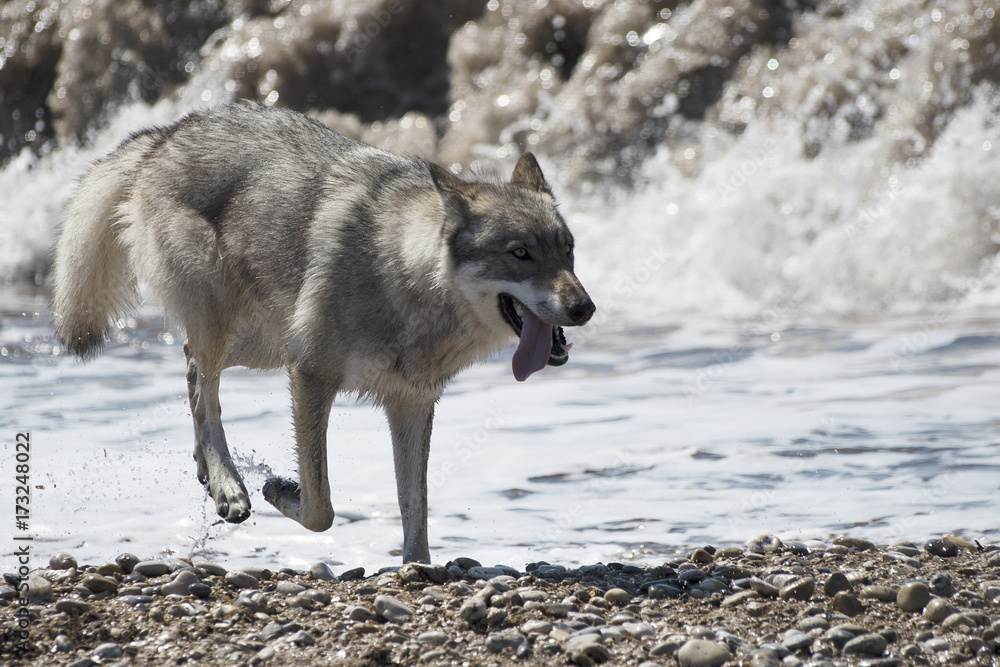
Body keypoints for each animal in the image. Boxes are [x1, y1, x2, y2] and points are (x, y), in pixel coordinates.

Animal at [51, 101, 595, 563]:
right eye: (520, 253)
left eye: (567, 250)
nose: (585, 308)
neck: (403, 277)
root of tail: (166, 133)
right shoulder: (311, 375)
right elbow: (321, 508)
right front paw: (279, 490)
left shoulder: (411, 403)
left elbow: (414, 507)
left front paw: (417, 568)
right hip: (232, 324)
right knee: (207, 392)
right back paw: (229, 486)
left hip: (267, 344)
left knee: (189, 366)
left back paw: (207, 470)